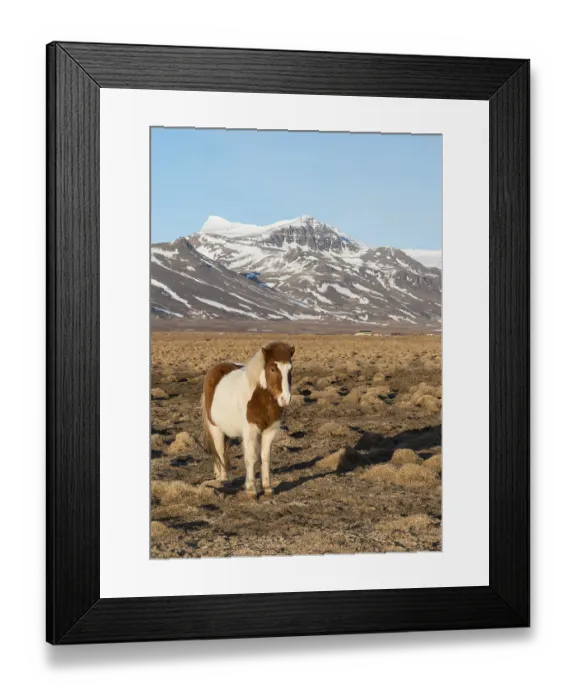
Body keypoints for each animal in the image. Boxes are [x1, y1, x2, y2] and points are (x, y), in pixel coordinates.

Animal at [201, 341, 295, 498]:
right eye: (273, 369)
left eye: (290, 369)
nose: (285, 399)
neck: (260, 399)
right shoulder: (251, 430)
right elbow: (251, 457)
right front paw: (251, 490)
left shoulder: (270, 431)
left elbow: (265, 457)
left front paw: (267, 488)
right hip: (215, 428)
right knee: (219, 452)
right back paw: (223, 480)